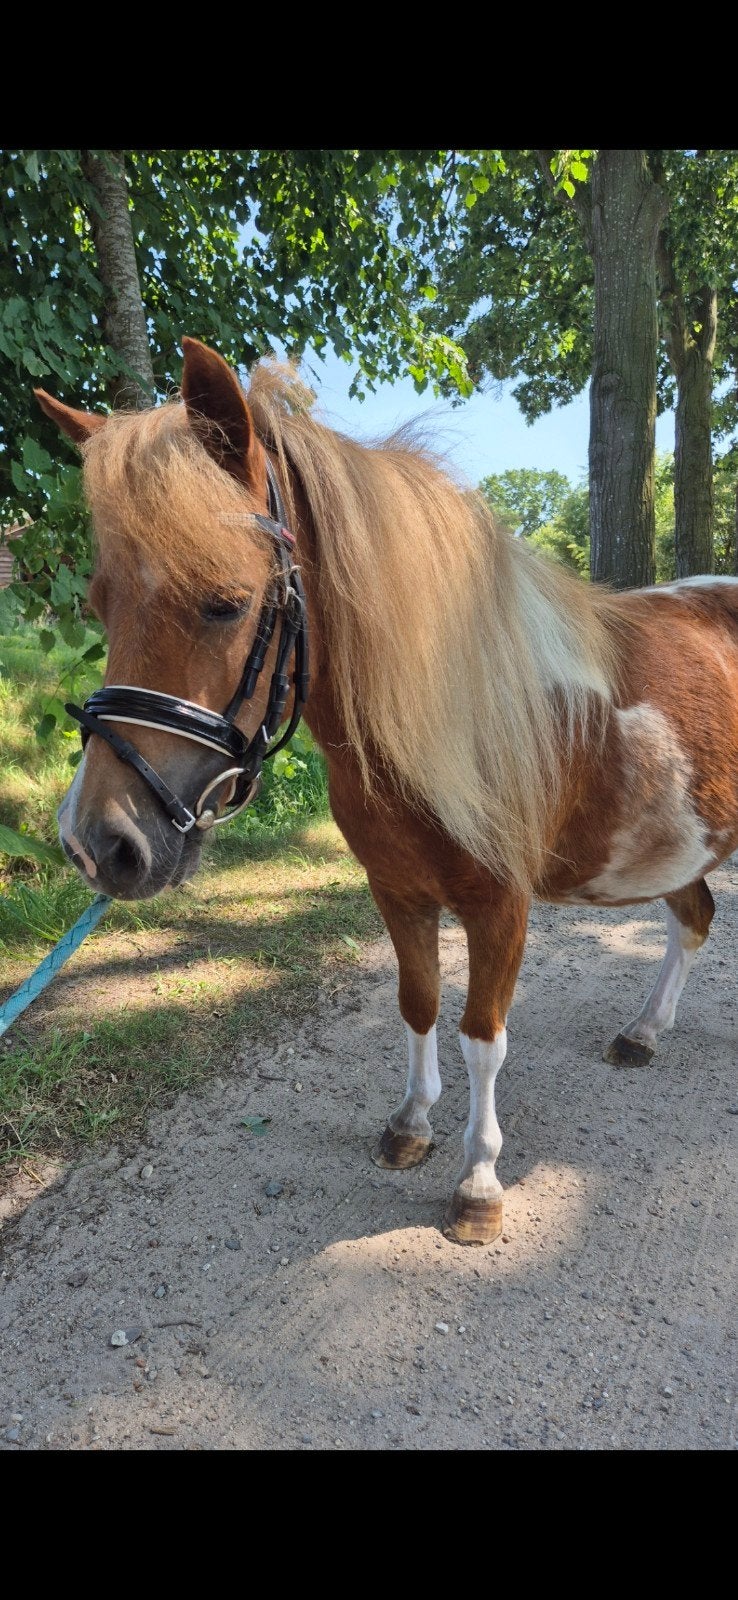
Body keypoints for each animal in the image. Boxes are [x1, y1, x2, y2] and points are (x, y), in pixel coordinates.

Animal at [35, 337, 738, 1247]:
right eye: (100, 603)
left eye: (225, 604)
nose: (98, 844)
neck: (457, 706)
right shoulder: (398, 893)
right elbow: (418, 1004)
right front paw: (412, 1124)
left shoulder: (500, 906)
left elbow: (483, 1037)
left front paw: (478, 1182)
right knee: (694, 917)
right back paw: (645, 1032)